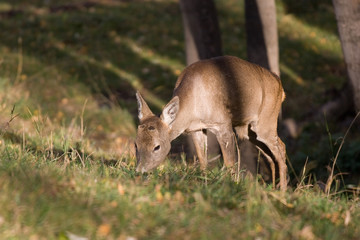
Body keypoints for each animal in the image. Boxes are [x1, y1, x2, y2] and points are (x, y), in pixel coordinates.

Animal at [134, 55, 286, 189]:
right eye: (136, 144)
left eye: (157, 147)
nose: (139, 172)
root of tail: (280, 86)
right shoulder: (196, 129)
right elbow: (203, 161)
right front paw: (204, 185)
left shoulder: (223, 125)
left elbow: (230, 163)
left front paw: (231, 188)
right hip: (248, 130)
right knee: (271, 155)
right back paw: (273, 189)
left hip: (266, 121)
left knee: (281, 148)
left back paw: (282, 192)